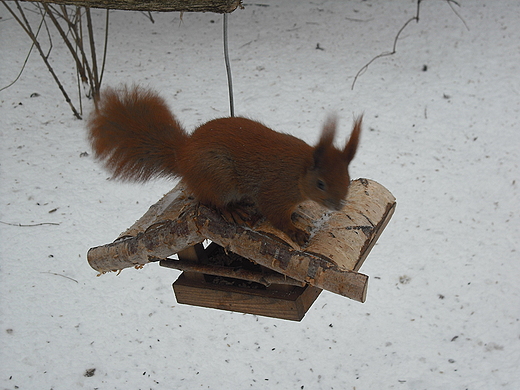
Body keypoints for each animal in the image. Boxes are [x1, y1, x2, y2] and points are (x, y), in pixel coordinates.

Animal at [87, 86, 362, 244]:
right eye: (320, 183)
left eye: (347, 177)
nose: (339, 205)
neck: (298, 173)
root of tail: (183, 155)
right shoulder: (274, 191)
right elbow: (276, 216)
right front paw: (294, 232)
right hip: (217, 177)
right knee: (210, 201)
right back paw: (232, 210)